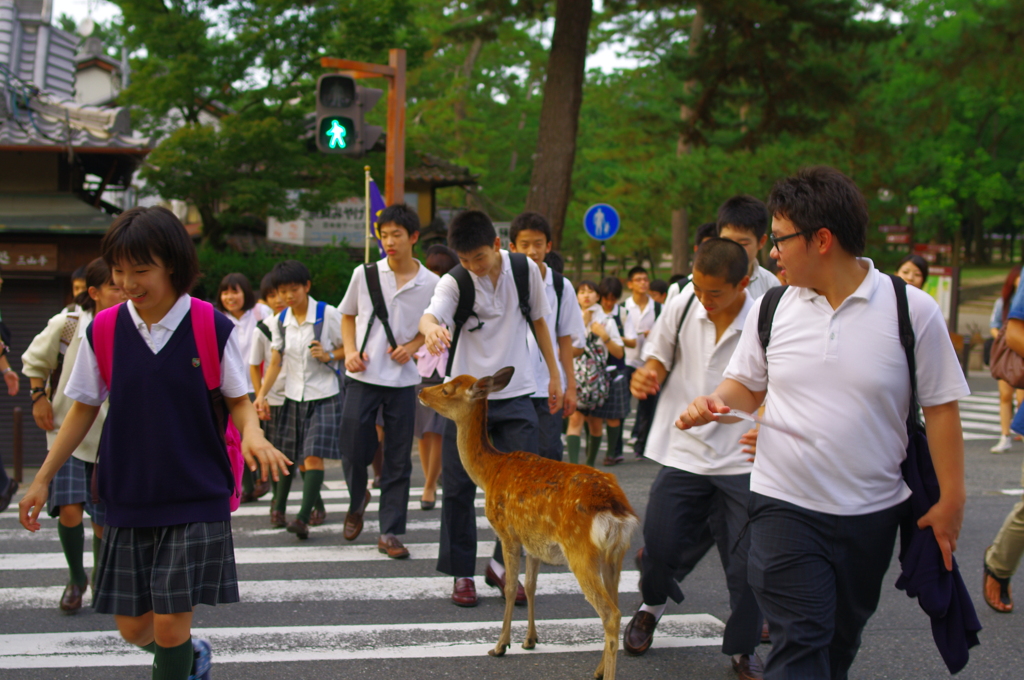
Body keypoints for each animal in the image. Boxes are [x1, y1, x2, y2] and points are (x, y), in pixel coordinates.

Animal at [419, 366, 634, 680]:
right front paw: (530, 640)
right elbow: (531, 586)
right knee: (616, 605)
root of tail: (617, 510)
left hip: (581, 551)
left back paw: (604, 673)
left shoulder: (507, 531)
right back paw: (597, 669)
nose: (421, 391)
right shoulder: (534, 541)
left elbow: (510, 587)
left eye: (447, 389)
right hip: (616, 554)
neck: (490, 473)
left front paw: (500, 646)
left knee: (611, 613)